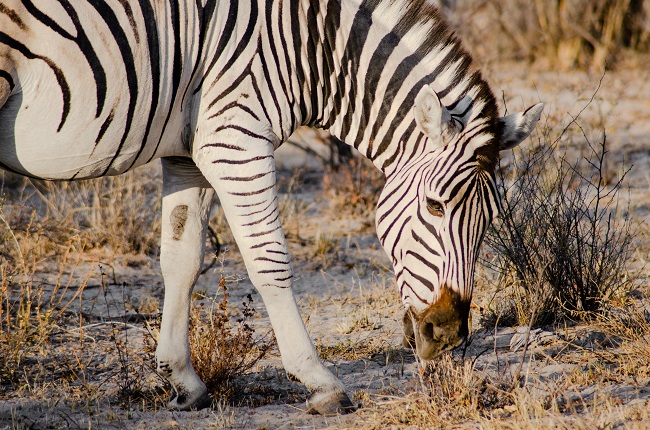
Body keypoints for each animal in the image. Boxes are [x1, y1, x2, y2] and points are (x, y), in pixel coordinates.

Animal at [0, 0, 543, 414]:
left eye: (490, 221)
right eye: (434, 207)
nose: (448, 335)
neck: (308, 46)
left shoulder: (190, 147)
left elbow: (181, 259)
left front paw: (182, 380)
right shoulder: (234, 137)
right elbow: (270, 263)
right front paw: (320, 381)